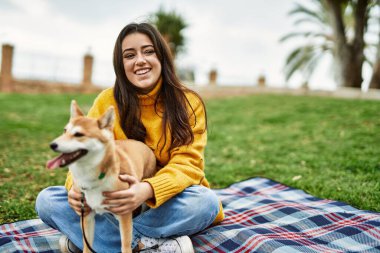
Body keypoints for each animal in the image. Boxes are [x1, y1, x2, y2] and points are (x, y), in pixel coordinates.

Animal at [46, 101, 157, 253]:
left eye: (79, 134)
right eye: (65, 131)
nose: (52, 145)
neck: (94, 178)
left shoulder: (124, 214)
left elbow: (125, 245)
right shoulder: (86, 215)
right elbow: (87, 246)